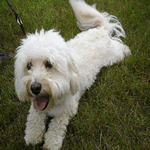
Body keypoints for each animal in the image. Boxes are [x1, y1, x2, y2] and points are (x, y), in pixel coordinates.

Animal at [14, 0, 131, 149]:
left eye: (49, 64)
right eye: (29, 65)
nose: (34, 88)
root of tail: (100, 30)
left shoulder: (67, 110)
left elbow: (56, 127)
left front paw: (51, 142)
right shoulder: (36, 108)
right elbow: (34, 118)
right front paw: (33, 136)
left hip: (113, 56)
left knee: (120, 49)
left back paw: (127, 51)